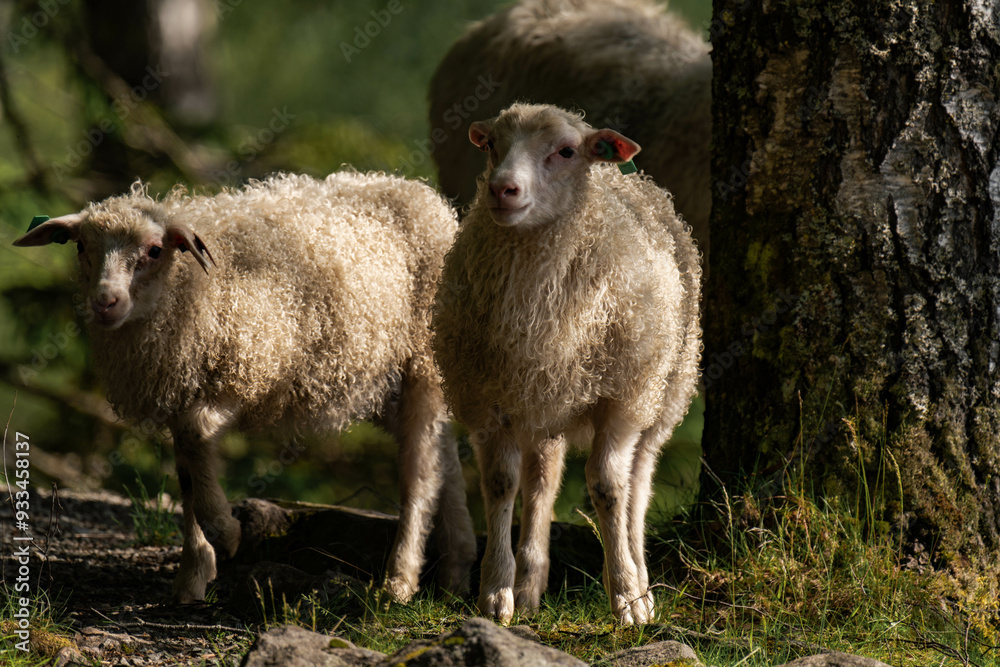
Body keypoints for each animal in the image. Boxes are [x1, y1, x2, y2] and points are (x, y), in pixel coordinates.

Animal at [13, 172, 477, 605]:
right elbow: (187, 476)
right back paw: (457, 568)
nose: (105, 302)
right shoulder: (180, 389)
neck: (186, 292)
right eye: (80, 247)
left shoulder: (243, 372)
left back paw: (400, 579)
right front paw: (193, 573)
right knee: (444, 456)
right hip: (389, 379)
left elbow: (198, 439)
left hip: (421, 360)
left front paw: (227, 533)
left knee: (420, 472)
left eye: (154, 250)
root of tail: (424, 197)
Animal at [432, 103, 702, 625]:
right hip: (545, 401)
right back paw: (529, 583)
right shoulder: (490, 399)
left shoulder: (620, 401)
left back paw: (640, 577)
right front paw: (496, 593)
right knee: (542, 482)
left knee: (638, 483)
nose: (501, 189)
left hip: (661, 394)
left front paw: (626, 598)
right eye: (491, 144)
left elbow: (608, 487)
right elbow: (501, 485)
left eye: (566, 152)